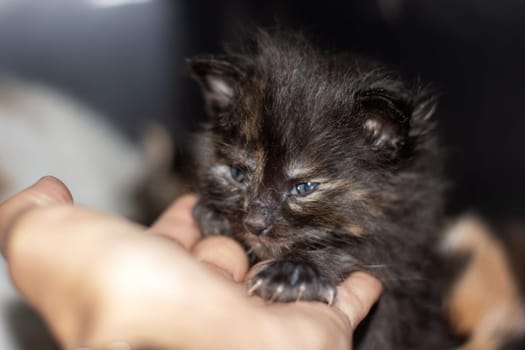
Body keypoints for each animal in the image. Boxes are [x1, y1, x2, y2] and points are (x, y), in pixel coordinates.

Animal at [189, 31, 458, 348]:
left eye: (303, 187)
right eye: (238, 174)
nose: (254, 224)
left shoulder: (403, 245)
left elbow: (352, 253)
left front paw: (294, 273)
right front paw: (212, 213)